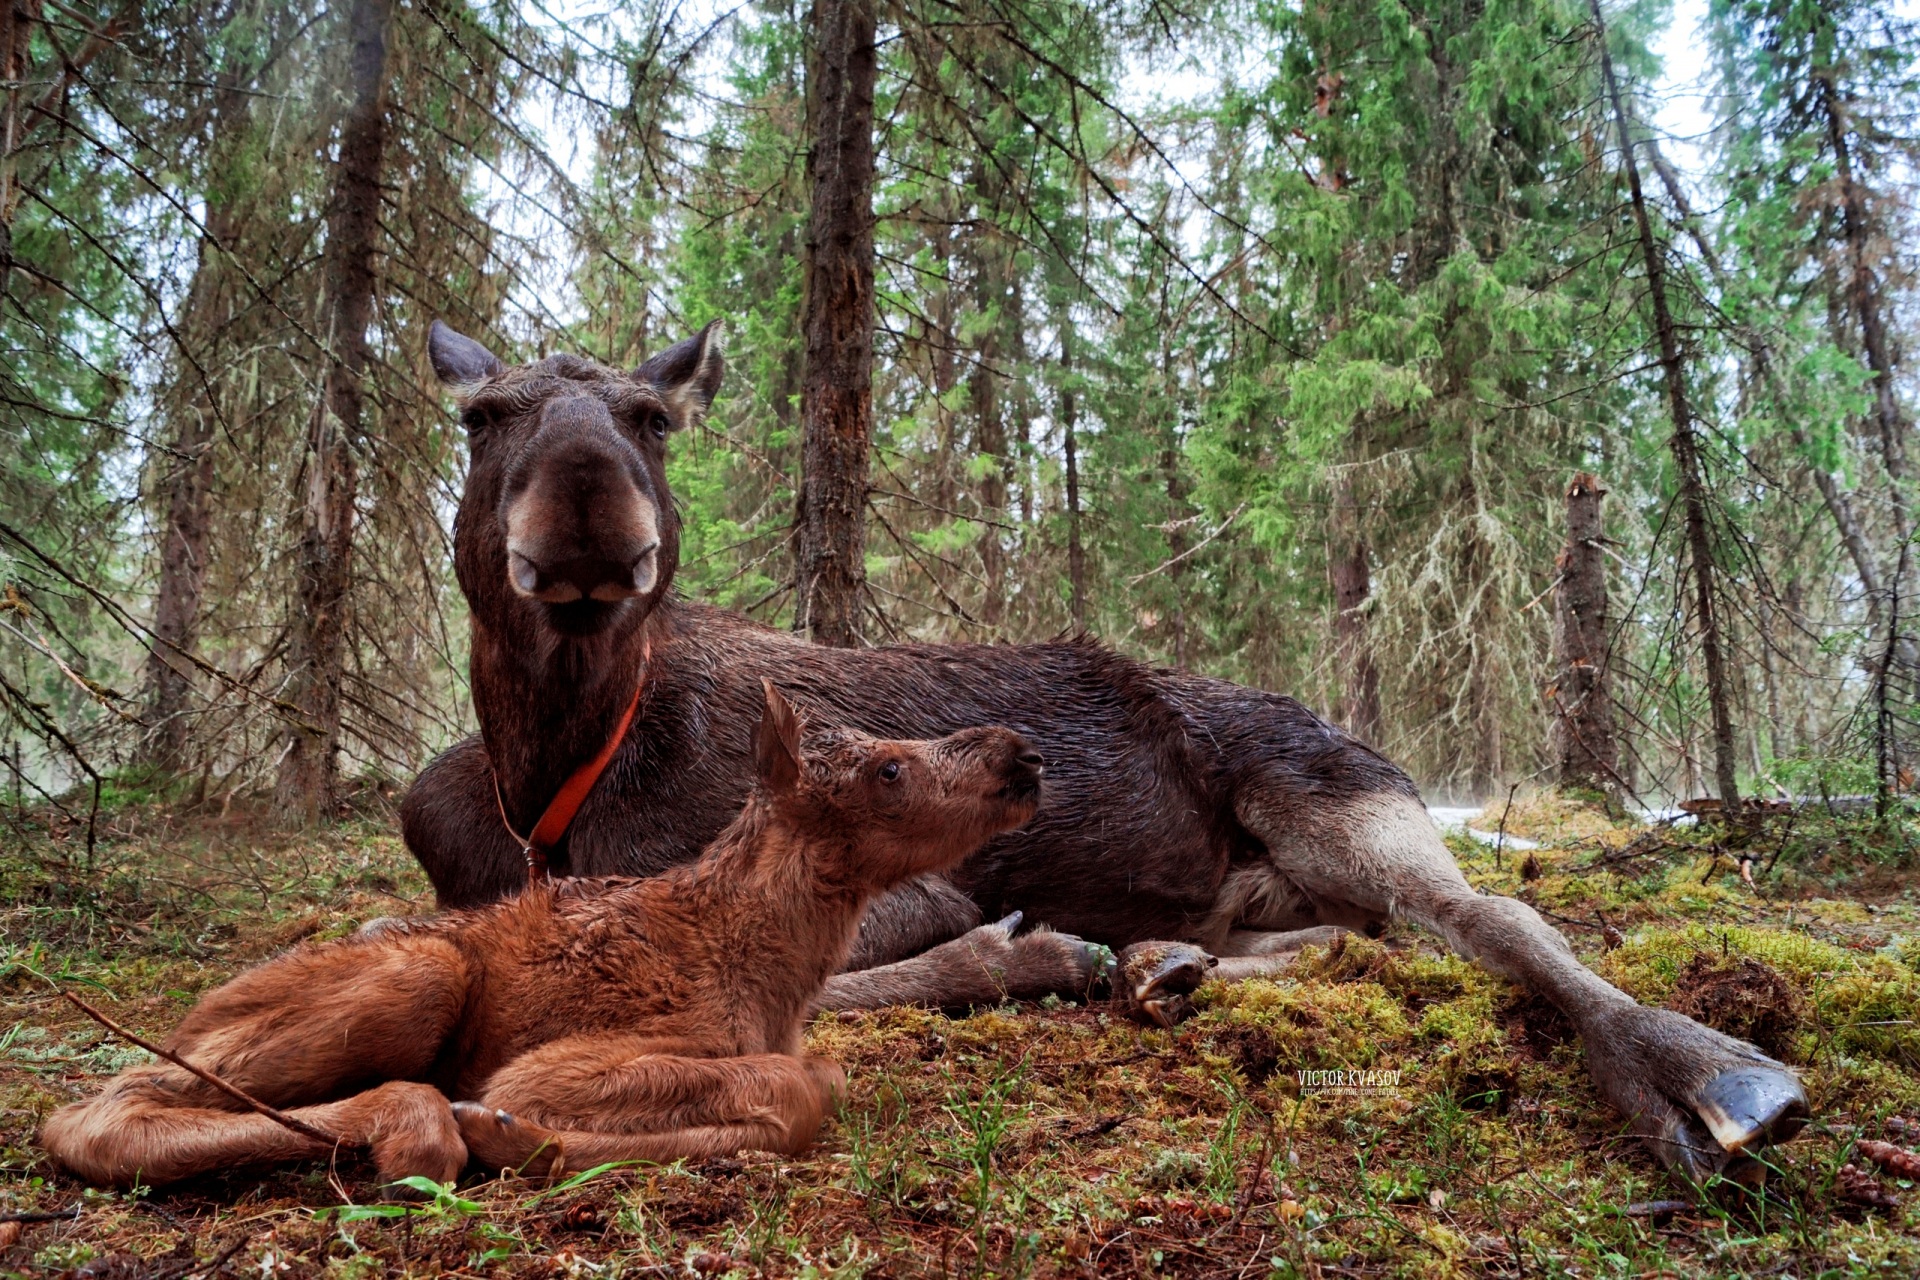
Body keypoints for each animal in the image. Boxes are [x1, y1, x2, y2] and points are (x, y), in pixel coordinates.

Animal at [41, 687, 1036, 1189]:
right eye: (889, 769)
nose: (1020, 753)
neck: (775, 972)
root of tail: (191, 1016)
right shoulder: (562, 1062)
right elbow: (797, 1091)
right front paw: (512, 1134)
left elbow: (819, 1079)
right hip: (418, 970)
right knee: (100, 1106)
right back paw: (416, 1123)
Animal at [405, 320, 1812, 1182]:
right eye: (483, 415)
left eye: (652, 415)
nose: (587, 500)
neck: (559, 772)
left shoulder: (908, 879)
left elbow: (831, 984)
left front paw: (1022, 953)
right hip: (1273, 882)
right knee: (1342, 939)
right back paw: (1159, 962)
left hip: (1340, 800)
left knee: (1496, 917)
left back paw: (1705, 1073)